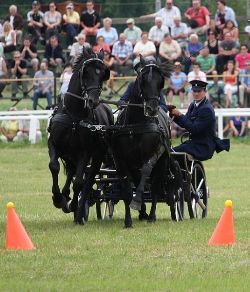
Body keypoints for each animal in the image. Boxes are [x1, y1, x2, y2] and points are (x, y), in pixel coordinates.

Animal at [47, 47, 113, 224]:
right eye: (86, 72)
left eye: (103, 74)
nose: (93, 101)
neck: (74, 116)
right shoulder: (53, 144)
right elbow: (54, 166)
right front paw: (58, 198)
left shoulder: (85, 152)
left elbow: (79, 183)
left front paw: (74, 206)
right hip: (70, 155)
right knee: (71, 171)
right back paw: (65, 197)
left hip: (96, 157)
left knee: (87, 181)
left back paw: (78, 209)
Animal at [111, 55, 182, 228]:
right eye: (142, 80)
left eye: (161, 81)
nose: (152, 108)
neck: (135, 126)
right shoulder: (121, 161)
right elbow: (126, 189)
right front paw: (128, 220)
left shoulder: (154, 154)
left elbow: (146, 171)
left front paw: (137, 203)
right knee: (137, 182)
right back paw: (143, 212)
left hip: (162, 163)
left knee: (155, 186)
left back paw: (151, 216)